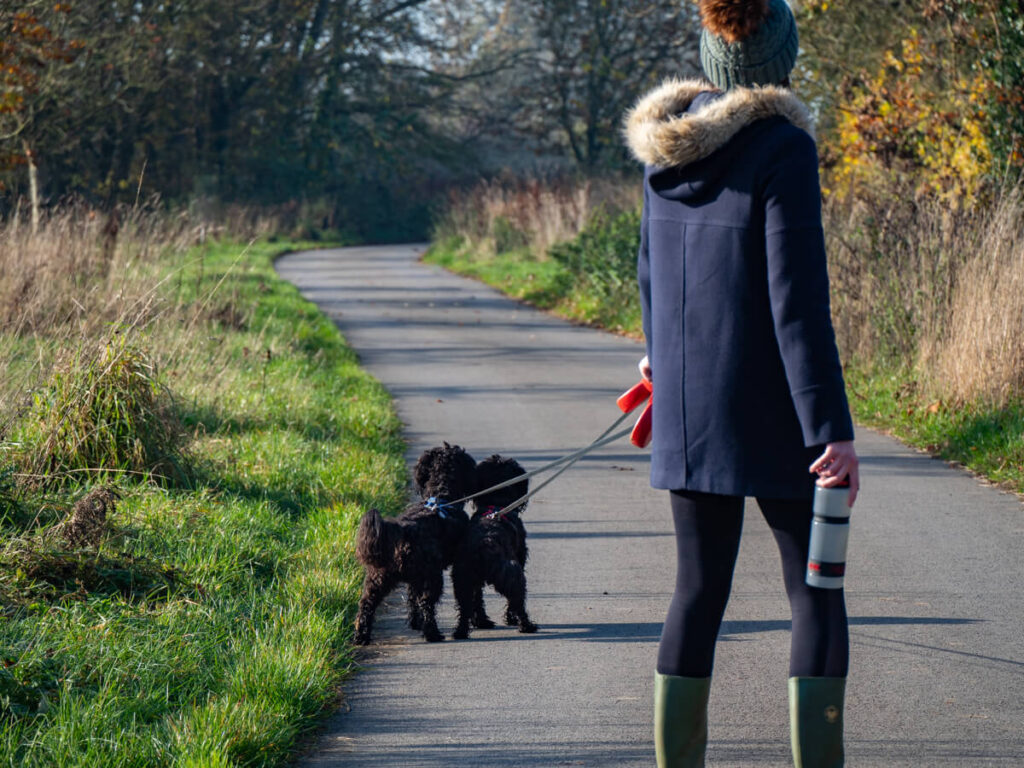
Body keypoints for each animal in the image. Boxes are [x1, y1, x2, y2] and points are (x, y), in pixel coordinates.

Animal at [354, 442, 477, 647]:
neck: (441, 495)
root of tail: (402, 529)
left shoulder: (414, 578)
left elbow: (411, 598)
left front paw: (414, 622)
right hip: (432, 577)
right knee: (427, 603)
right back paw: (433, 634)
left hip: (378, 578)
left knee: (366, 605)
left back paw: (361, 637)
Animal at [454, 454, 540, 638]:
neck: (496, 502)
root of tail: (485, 543)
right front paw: (510, 619)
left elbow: (477, 599)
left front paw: (481, 622)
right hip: (511, 574)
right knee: (517, 600)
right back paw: (527, 626)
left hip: (462, 579)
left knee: (466, 605)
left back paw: (462, 631)